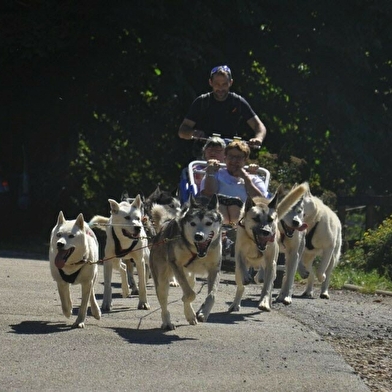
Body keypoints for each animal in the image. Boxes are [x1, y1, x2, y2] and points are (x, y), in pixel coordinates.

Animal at [150, 194, 222, 330]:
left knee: (190, 287)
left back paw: (190, 315)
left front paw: (203, 312)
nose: (198, 236)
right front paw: (188, 301)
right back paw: (167, 322)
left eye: (208, 223)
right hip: (162, 279)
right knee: (164, 301)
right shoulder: (176, 265)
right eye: (193, 223)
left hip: (190, 277)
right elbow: (190, 295)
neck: (196, 252)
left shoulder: (214, 269)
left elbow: (212, 295)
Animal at [227, 183, 310, 312]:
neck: (254, 242)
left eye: (271, 220)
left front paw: (265, 302)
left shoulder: (273, 262)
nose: (266, 232)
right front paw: (246, 276)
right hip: (238, 273)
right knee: (240, 286)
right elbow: (241, 264)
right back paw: (235, 303)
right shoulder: (239, 252)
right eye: (256, 218)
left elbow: (268, 286)